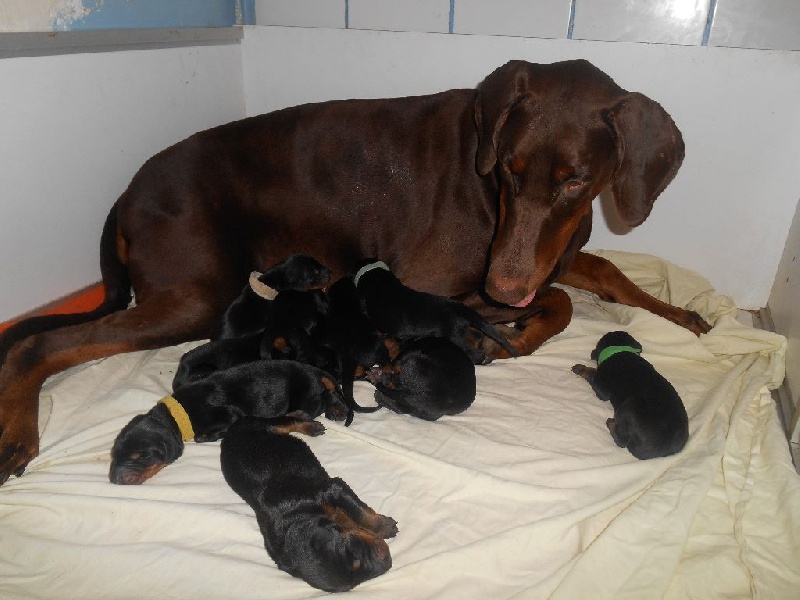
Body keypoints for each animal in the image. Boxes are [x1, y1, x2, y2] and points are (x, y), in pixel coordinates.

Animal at [109, 358, 346, 486]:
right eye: (113, 454)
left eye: (139, 456)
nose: (114, 479)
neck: (176, 414)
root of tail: (311, 369)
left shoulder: (230, 415)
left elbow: (201, 436)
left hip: (307, 398)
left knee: (326, 397)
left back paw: (332, 412)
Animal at [220, 418, 398, 596]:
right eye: (351, 585)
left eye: (355, 556)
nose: (388, 563)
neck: (296, 517)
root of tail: (230, 431)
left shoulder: (333, 488)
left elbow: (359, 512)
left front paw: (385, 527)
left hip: (261, 427)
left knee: (284, 421)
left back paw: (312, 426)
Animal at [572, 330, 692, 462]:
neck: (620, 350)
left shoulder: (602, 388)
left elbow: (592, 373)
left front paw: (580, 368)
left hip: (627, 407)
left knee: (621, 441)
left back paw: (611, 422)